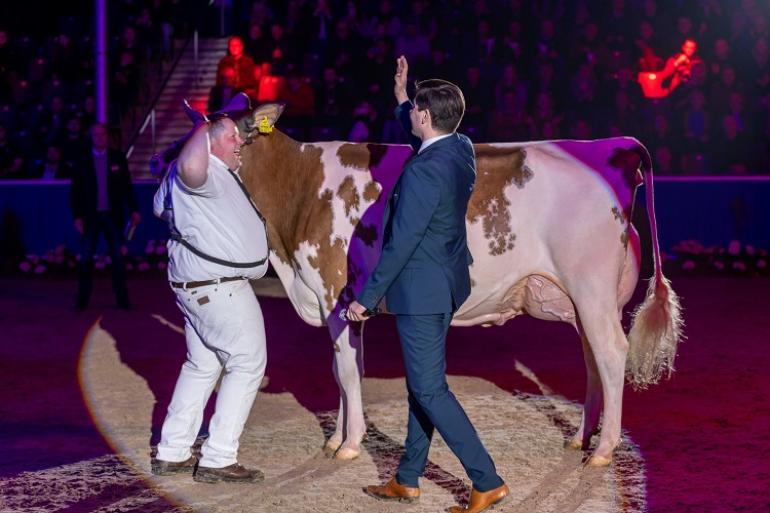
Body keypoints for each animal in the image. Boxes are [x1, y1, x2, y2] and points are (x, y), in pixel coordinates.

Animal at [166, 102, 680, 466]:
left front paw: (349, 445)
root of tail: (613, 145)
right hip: (583, 299)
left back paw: (604, 450)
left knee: (611, 353)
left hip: (590, 286)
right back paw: (580, 437)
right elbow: (342, 369)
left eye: (214, 137)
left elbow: (346, 371)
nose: (169, 161)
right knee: (593, 357)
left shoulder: (335, 294)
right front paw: (336, 438)